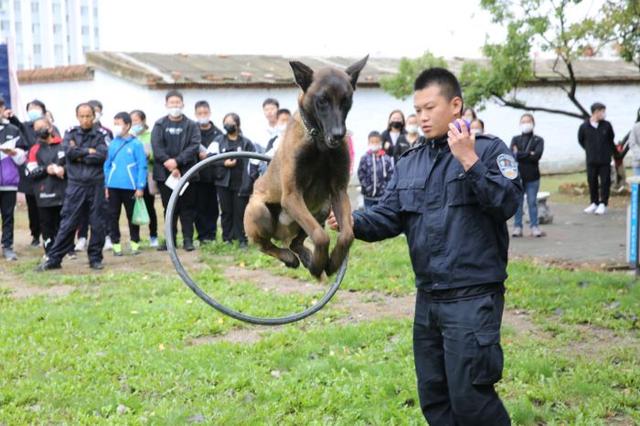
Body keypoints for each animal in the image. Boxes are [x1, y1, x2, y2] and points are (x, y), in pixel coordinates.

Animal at [242, 55, 368, 278]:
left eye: (346, 100)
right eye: (322, 100)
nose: (338, 134)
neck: (320, 145)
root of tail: (282, 233)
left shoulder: (339, 192)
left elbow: (347, 235)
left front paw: (331, 262)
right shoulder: (292, 196)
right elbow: (320, 236)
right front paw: (319, 264)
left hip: (323, 207)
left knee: (296, 242)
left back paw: (306, 256)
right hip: (260, 211)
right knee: (264, 245)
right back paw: (288, 257)